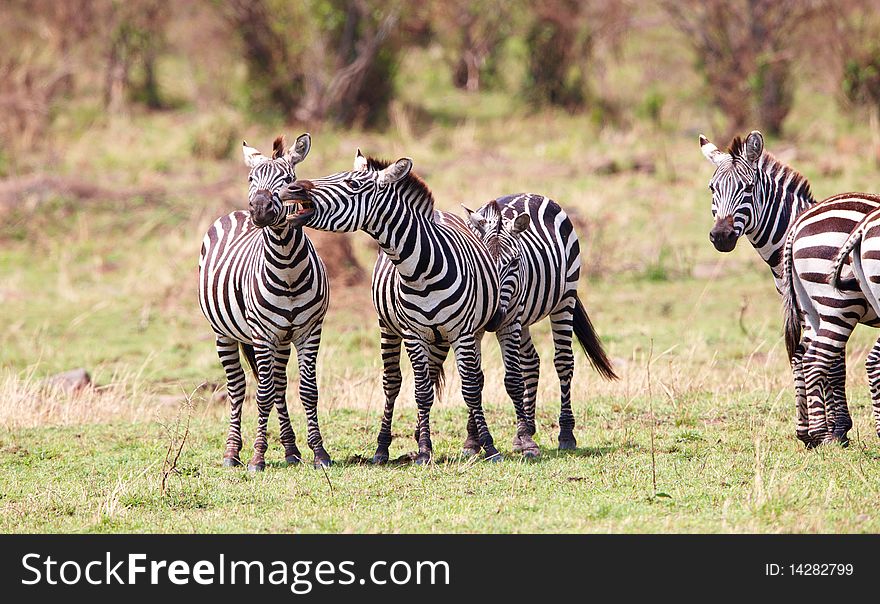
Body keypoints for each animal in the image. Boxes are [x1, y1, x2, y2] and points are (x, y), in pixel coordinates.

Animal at [198, 136, 332, 472]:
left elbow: (307, 390)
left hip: (282, 339)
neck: (287, 267)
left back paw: (291, 450)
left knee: (280, 385)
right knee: (238, 388)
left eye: (288, 180)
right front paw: (258, 456)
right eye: (250, 179)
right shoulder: (260, 334)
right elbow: (263, 394)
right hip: (224, 333)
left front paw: (318, 452)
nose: (259, 209)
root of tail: (236, 213)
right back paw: (232, 452)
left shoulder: (310, 331)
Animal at [282, 153, 502, 464]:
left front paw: (489, 446)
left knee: (452, 377)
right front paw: (424, 450)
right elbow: (421, 392)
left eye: (352, 184)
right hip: (389, 328)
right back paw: (382, 447)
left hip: (458, 334)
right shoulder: (413, 333)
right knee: (393, 383)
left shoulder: (464, 332)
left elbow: (471, 388)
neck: (421, 270)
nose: (291, 189)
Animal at [460, 196, 620, 456]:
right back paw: (527, 426)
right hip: (523, 318)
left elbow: (512, 380)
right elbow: (475, 378)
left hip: (563, 299)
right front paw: (472, 440)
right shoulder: (472, 326)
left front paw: (525, 440)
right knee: (531, 362)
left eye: (514, 262)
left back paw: (565, 434)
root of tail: (530, 194)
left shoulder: (510, 319)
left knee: (563, 362)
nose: (495, 319)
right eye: (481, 260)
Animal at [700, 130, 880, 446]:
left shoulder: (832, 307)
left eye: (748, 188)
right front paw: (823, 430)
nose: (721, 236)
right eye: (712, 188)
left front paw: (832, 430)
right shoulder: (815, 309)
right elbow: (814, 360)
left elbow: (830, 363)